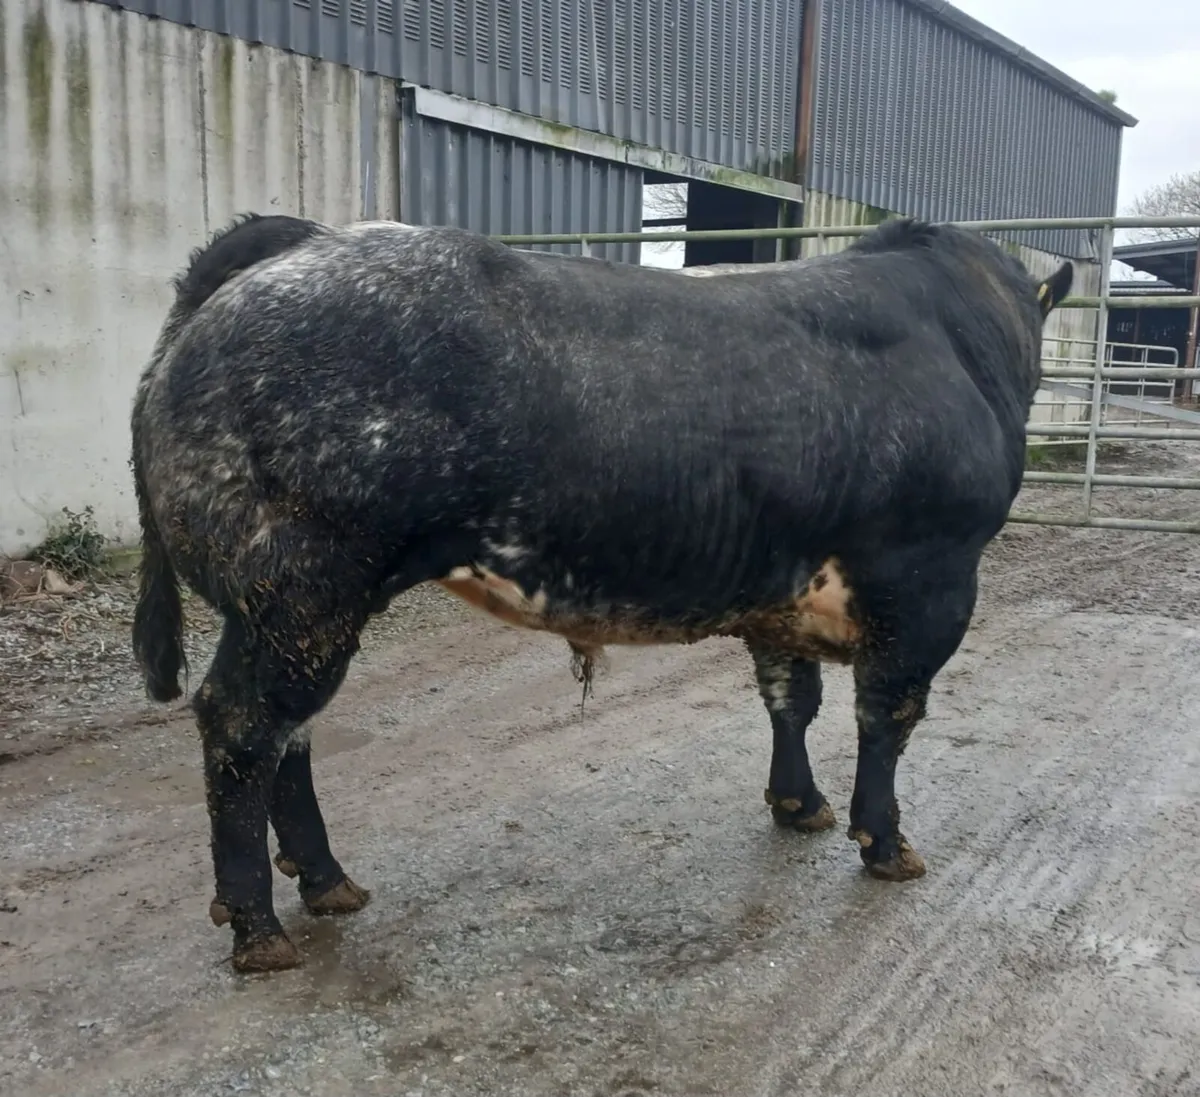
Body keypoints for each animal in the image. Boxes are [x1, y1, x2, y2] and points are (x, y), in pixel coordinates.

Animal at [129, 212, 1073, 972]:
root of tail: (302, 247)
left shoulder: (783, 586)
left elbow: (789, 699)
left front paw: (797, 802)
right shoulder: (930, 580)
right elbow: (888, 718)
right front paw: (886, 840)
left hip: (297, 609)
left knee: (289, 737)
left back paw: (326, 881)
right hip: (301, 592)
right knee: (244, 728)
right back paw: (258, 927)